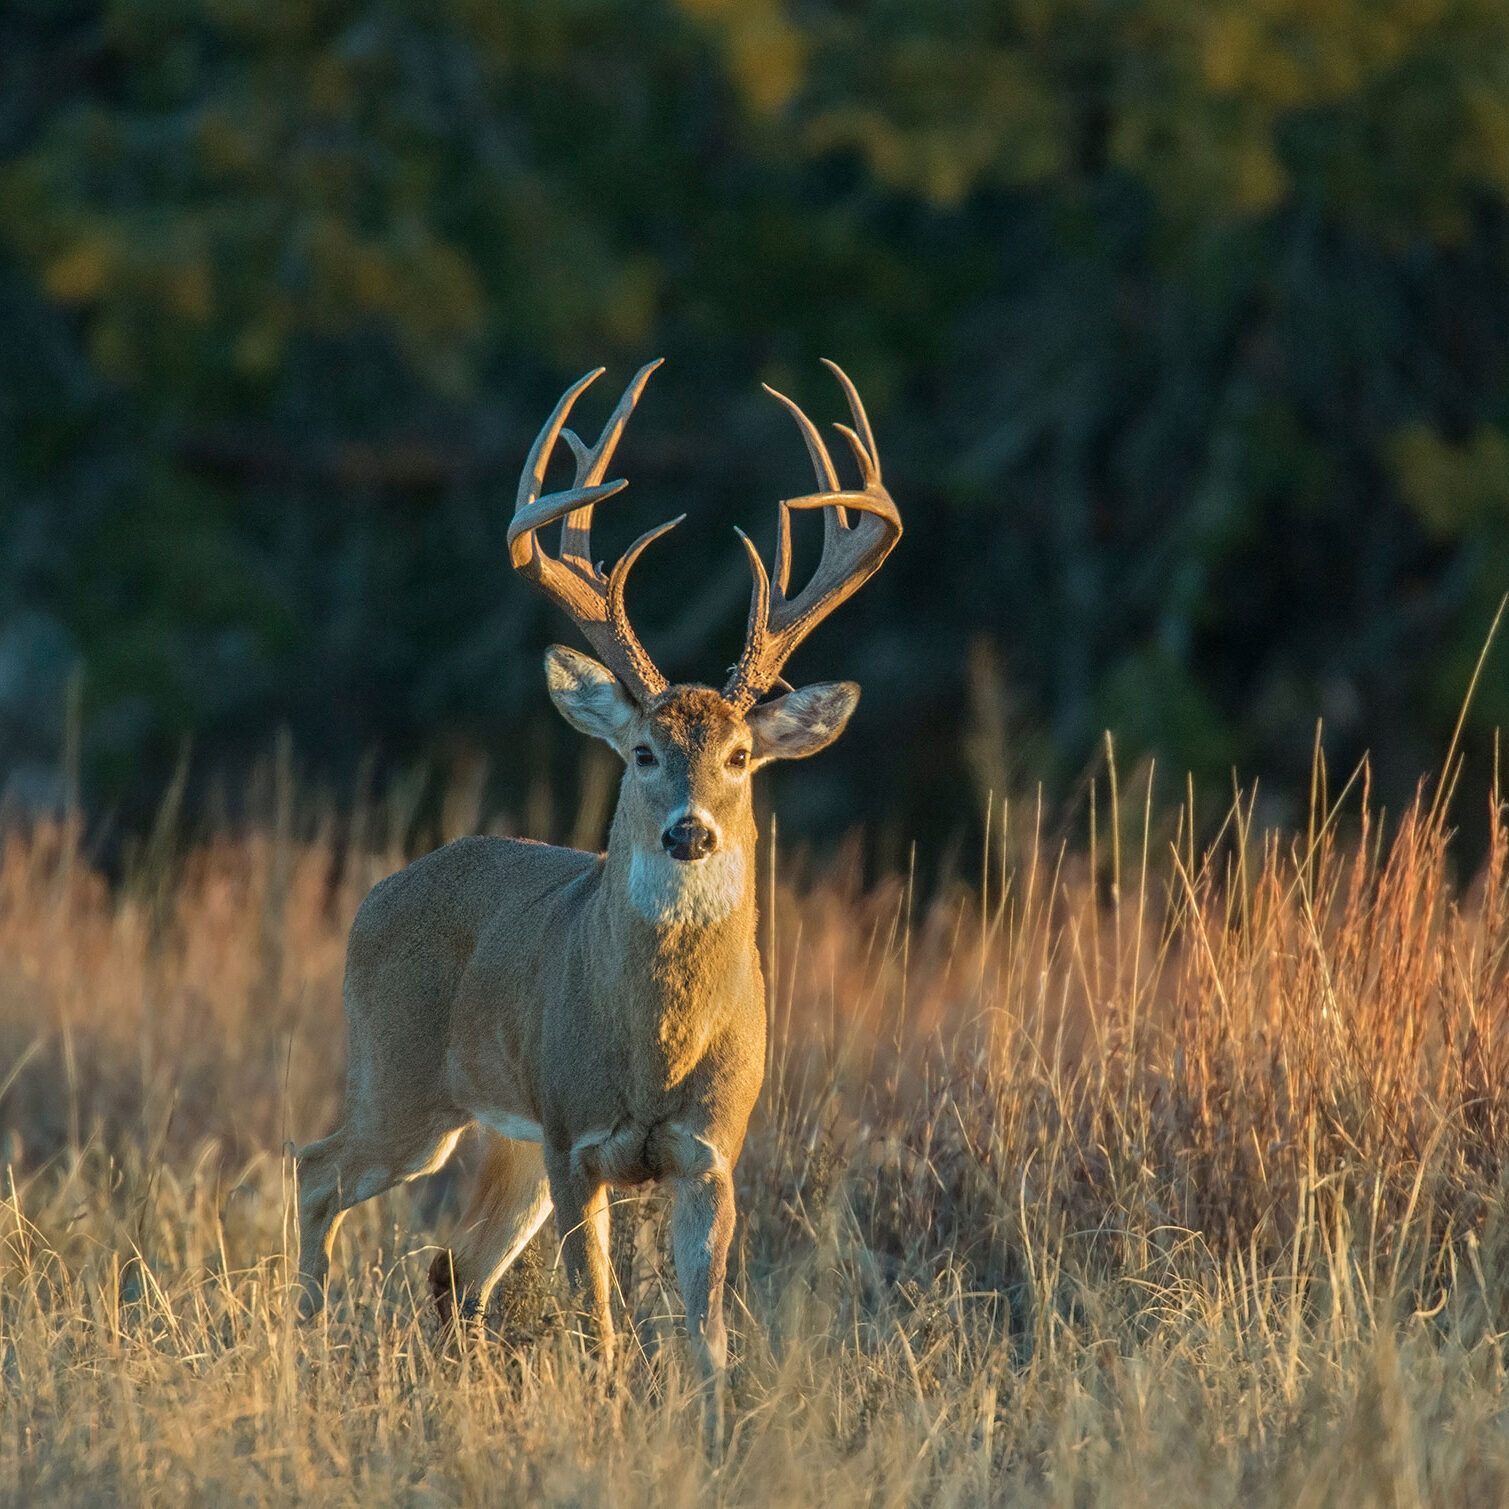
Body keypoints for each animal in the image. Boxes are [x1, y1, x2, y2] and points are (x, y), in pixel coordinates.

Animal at [294, 358, 900, 1432]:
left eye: (740, 756)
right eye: (644, 751)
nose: (689, 832)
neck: (659, 1048)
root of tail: (380, 892)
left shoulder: (710, 1152)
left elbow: (707, 1335)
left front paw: (712, 1432)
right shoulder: (577, 1141)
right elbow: (602, 1324)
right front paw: (613, 1419)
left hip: (502, 1137)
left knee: (456, 1267)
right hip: (404, 1085)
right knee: (318, 1169)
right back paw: (307, 1351)